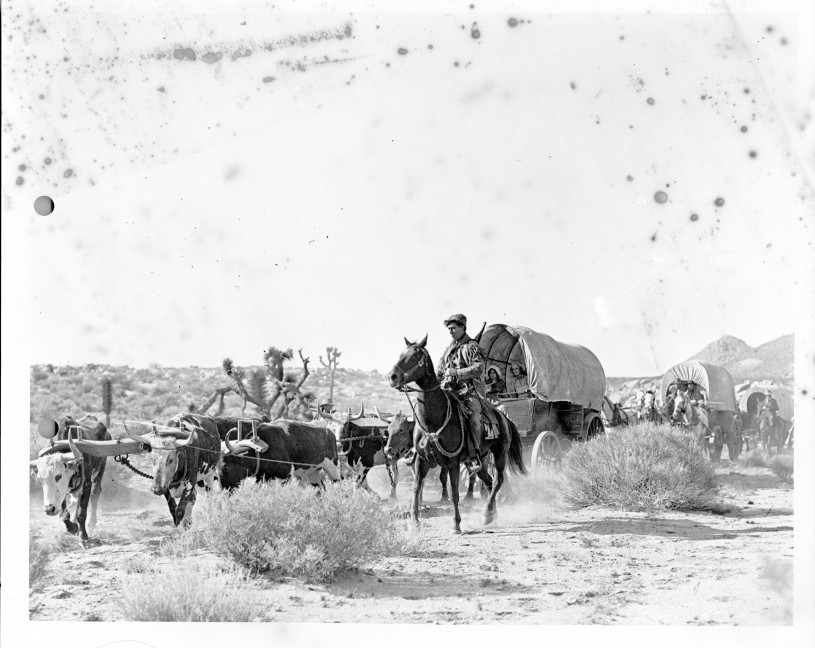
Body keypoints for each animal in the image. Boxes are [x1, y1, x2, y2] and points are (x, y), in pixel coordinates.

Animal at [388, 334, 528, 532]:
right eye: (402, 354)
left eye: (415, 356)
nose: (393, 376)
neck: (433, 421)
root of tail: (503, 417)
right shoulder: (422, 461)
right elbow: (416, 488)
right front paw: (414, 521)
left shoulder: (452, 463)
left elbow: (454, 493)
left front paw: (456, 524)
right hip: (479, 460)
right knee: (488, 481)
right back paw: (491, 513)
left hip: (500, 453)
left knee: (498, 480)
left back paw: (487, 513)